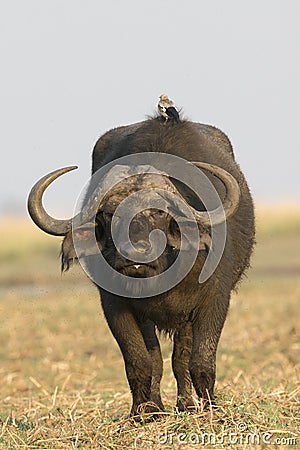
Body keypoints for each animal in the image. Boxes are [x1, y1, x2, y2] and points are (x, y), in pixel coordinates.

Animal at [28, 117, 254, 418]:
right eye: (108, 213)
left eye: (158, 211)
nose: (134, 252)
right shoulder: (115, 306)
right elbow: (140, 360)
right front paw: (143, 412)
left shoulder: (215, 300)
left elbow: (201, 359)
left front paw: (210, 408)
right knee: (159, 357)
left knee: (181, 356)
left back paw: (187, 404)